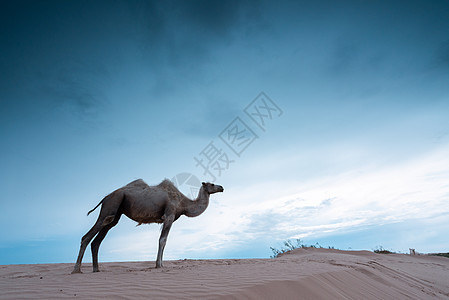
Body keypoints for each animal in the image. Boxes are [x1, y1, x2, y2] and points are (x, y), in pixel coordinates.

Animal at [71, 179, 223, 274]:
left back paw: (96, 269)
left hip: (115, 214)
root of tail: (105, 197)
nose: (221, 187)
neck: (183, 203)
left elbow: (164, 241)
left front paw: (160, 264)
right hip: (110, 206)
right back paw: (76, 270)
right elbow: (163, 240)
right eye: (212, 184)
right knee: (87, 237)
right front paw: (159, 265)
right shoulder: (169, 215)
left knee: (97, 241)